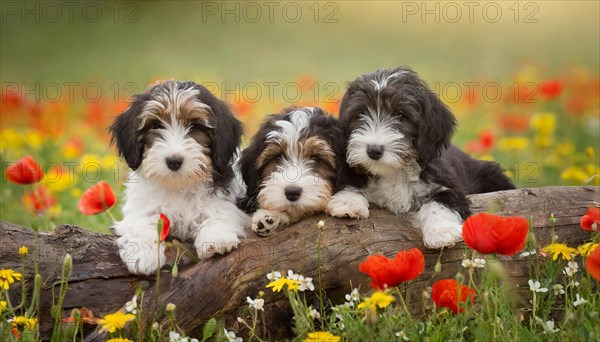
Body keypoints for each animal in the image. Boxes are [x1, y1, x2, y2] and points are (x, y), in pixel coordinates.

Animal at [109, 80, 248, 276]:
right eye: (156, 125)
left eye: (195, 126)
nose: (173, 161)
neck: (178, 185)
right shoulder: (141, 208)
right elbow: (139, 224)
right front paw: (142, 254)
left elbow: (219, 212)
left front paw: (216, 239)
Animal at [328, 67, 516, 248]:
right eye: (360, 114)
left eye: (401, 115)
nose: (374, 150)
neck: (395, 171)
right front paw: (348, 201)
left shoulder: (448, 184)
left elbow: (439, 203)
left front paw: (442, 232)